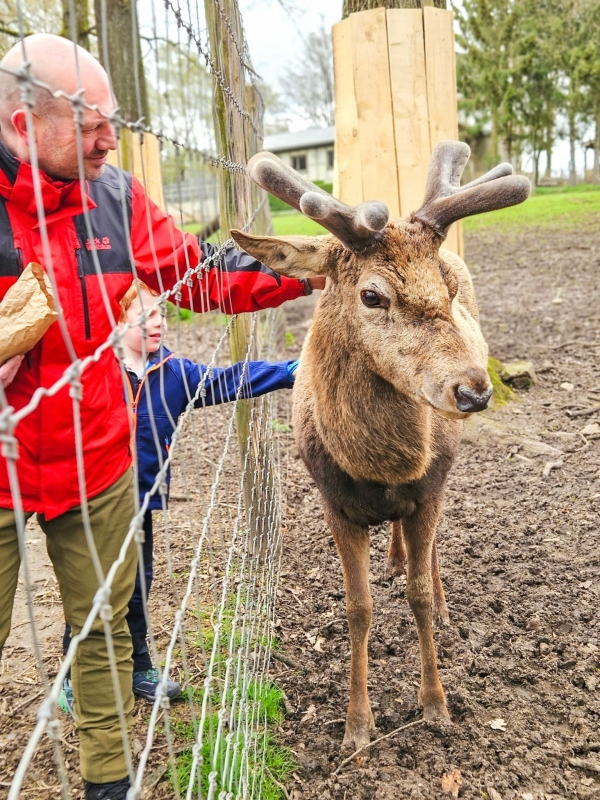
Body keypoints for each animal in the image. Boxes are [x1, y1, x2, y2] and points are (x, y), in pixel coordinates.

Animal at [231, 145, 528, 756]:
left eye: (447, 289)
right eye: (371, 294)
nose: (474, 389)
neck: (380, 470)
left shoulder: (428, 490)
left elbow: (417, 597)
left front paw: (435, 705)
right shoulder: (335, 505)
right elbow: (358, 608)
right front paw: (357, 724)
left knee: (431, 551)